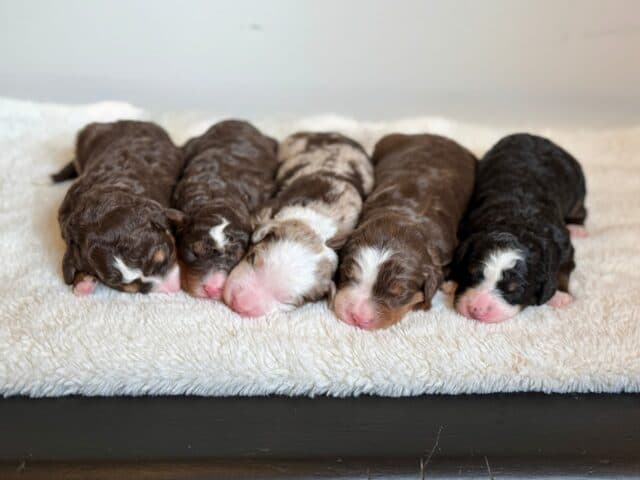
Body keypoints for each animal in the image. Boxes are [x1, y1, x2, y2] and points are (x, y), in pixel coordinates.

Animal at [448, 133, 588, 324]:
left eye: (514, 289)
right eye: (471, 274)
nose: (477, 310)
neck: (515, 223)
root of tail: (535, 137)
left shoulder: (563, 244)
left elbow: (563, 268)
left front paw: (560, 295)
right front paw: (449, 281)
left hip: (576, 188)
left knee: (580, 209)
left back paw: (577, 228)